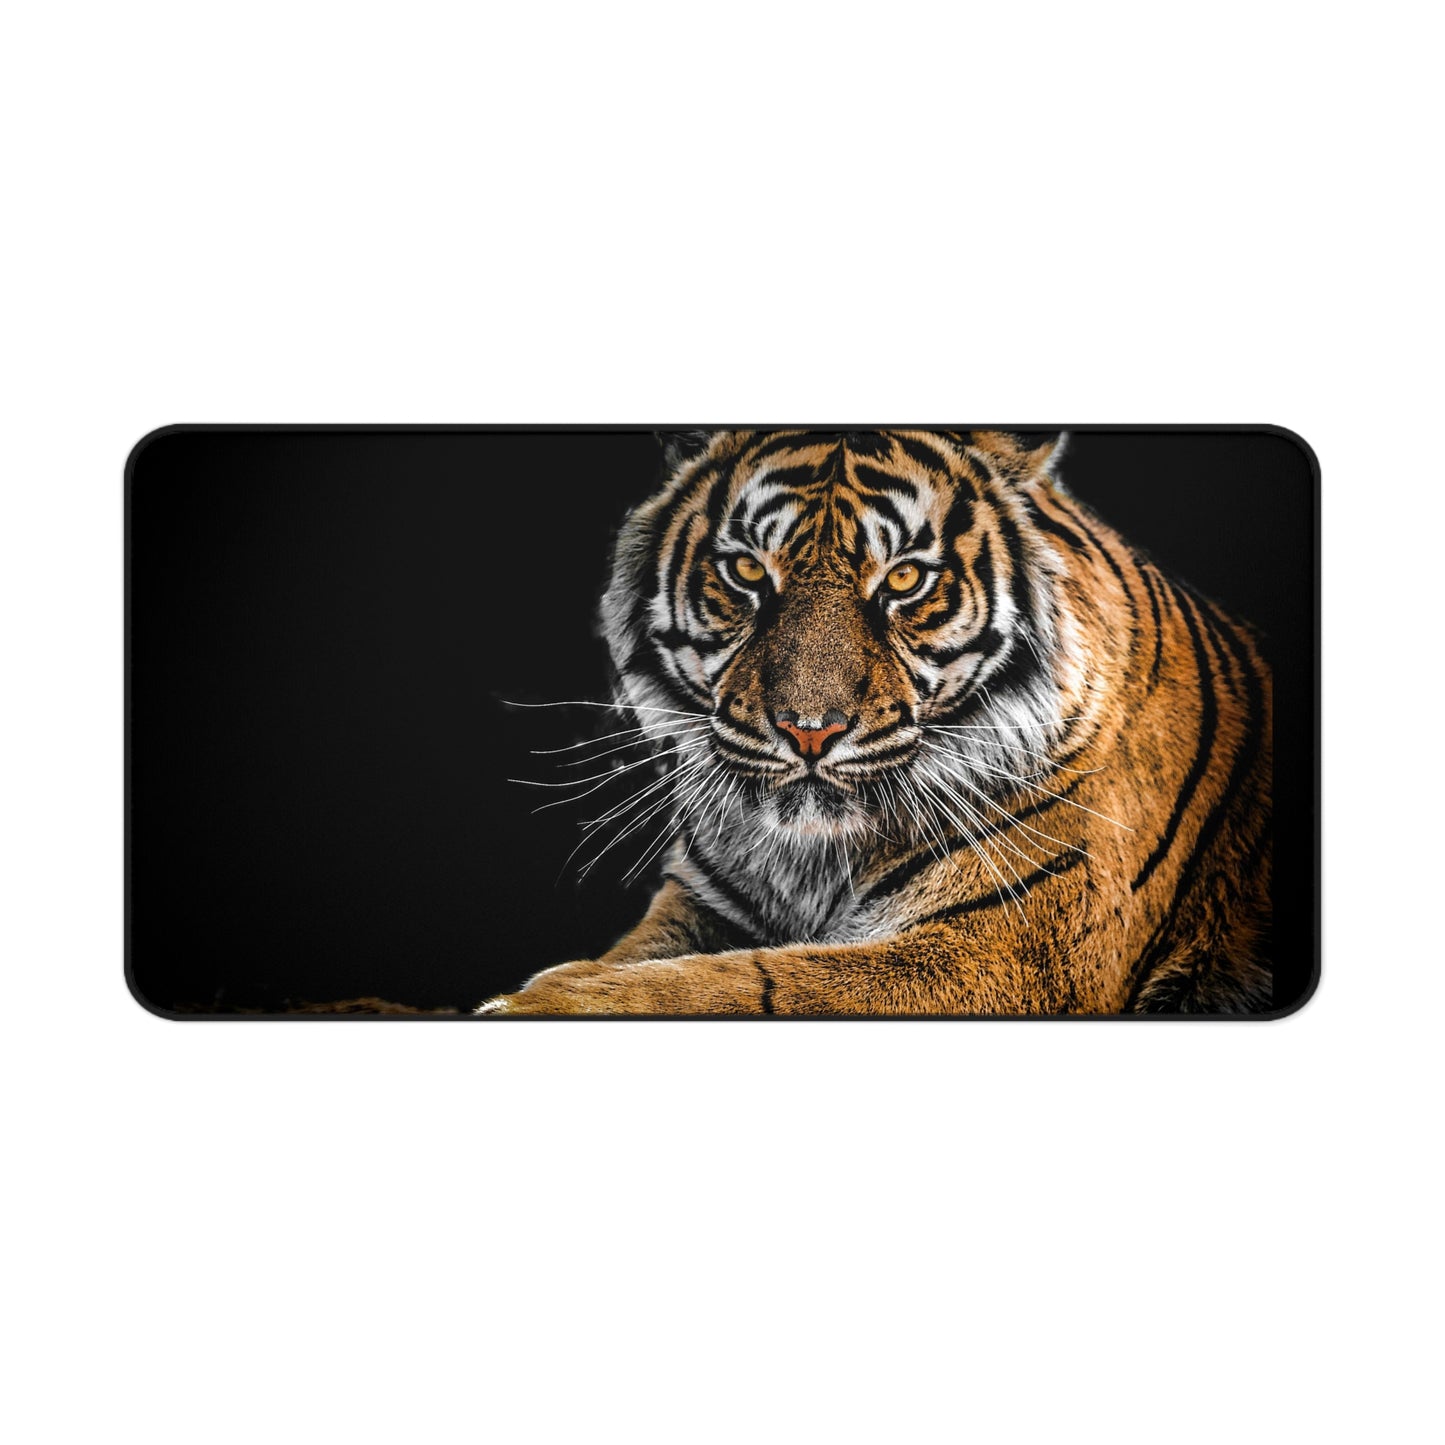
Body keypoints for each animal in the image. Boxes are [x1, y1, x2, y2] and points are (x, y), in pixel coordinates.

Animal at [478, 428, 1272, 1016]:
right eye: (747, 571)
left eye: (903, 578)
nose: (808, 731)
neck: (812, 859)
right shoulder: (699, 902)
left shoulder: (1002, 950)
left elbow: (751, 983)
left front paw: (534, 1002)